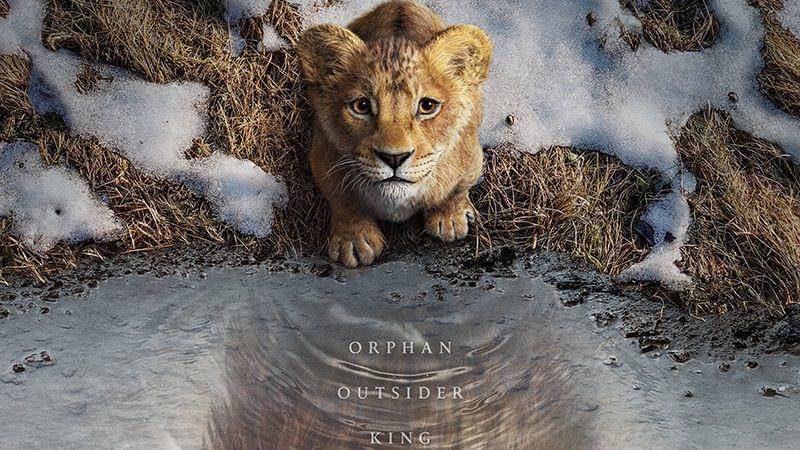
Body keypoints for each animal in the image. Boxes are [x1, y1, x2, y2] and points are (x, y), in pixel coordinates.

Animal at [297, 0, 493, 268]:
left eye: (427, 106)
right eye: (361, 106)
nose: (394, 158)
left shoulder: (471, 157)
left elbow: (457, 189)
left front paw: (449, 218)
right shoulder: (323, 157)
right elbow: (343, 199)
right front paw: (354, 240)